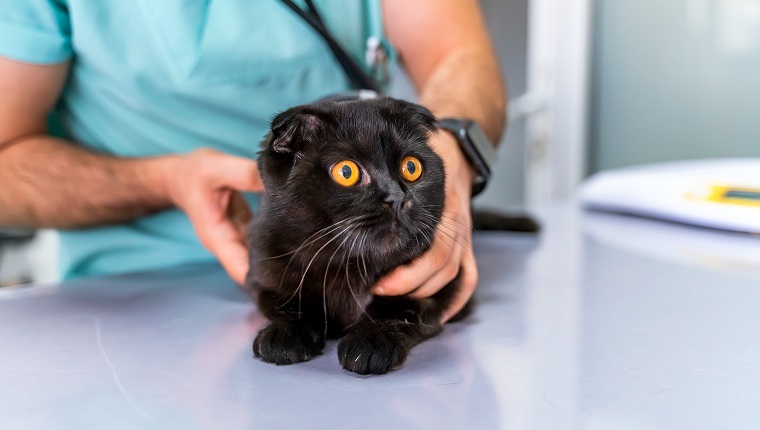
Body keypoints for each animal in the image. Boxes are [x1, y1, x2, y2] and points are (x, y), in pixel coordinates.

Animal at [246, 95, 536, 374]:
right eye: (346, 172)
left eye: (412, 167)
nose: (396, 198)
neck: (349, 267)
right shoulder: (265, 267)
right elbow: (285, 302)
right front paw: (285, 334)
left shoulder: (447, 283)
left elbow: (399, 305)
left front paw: (371, 341)